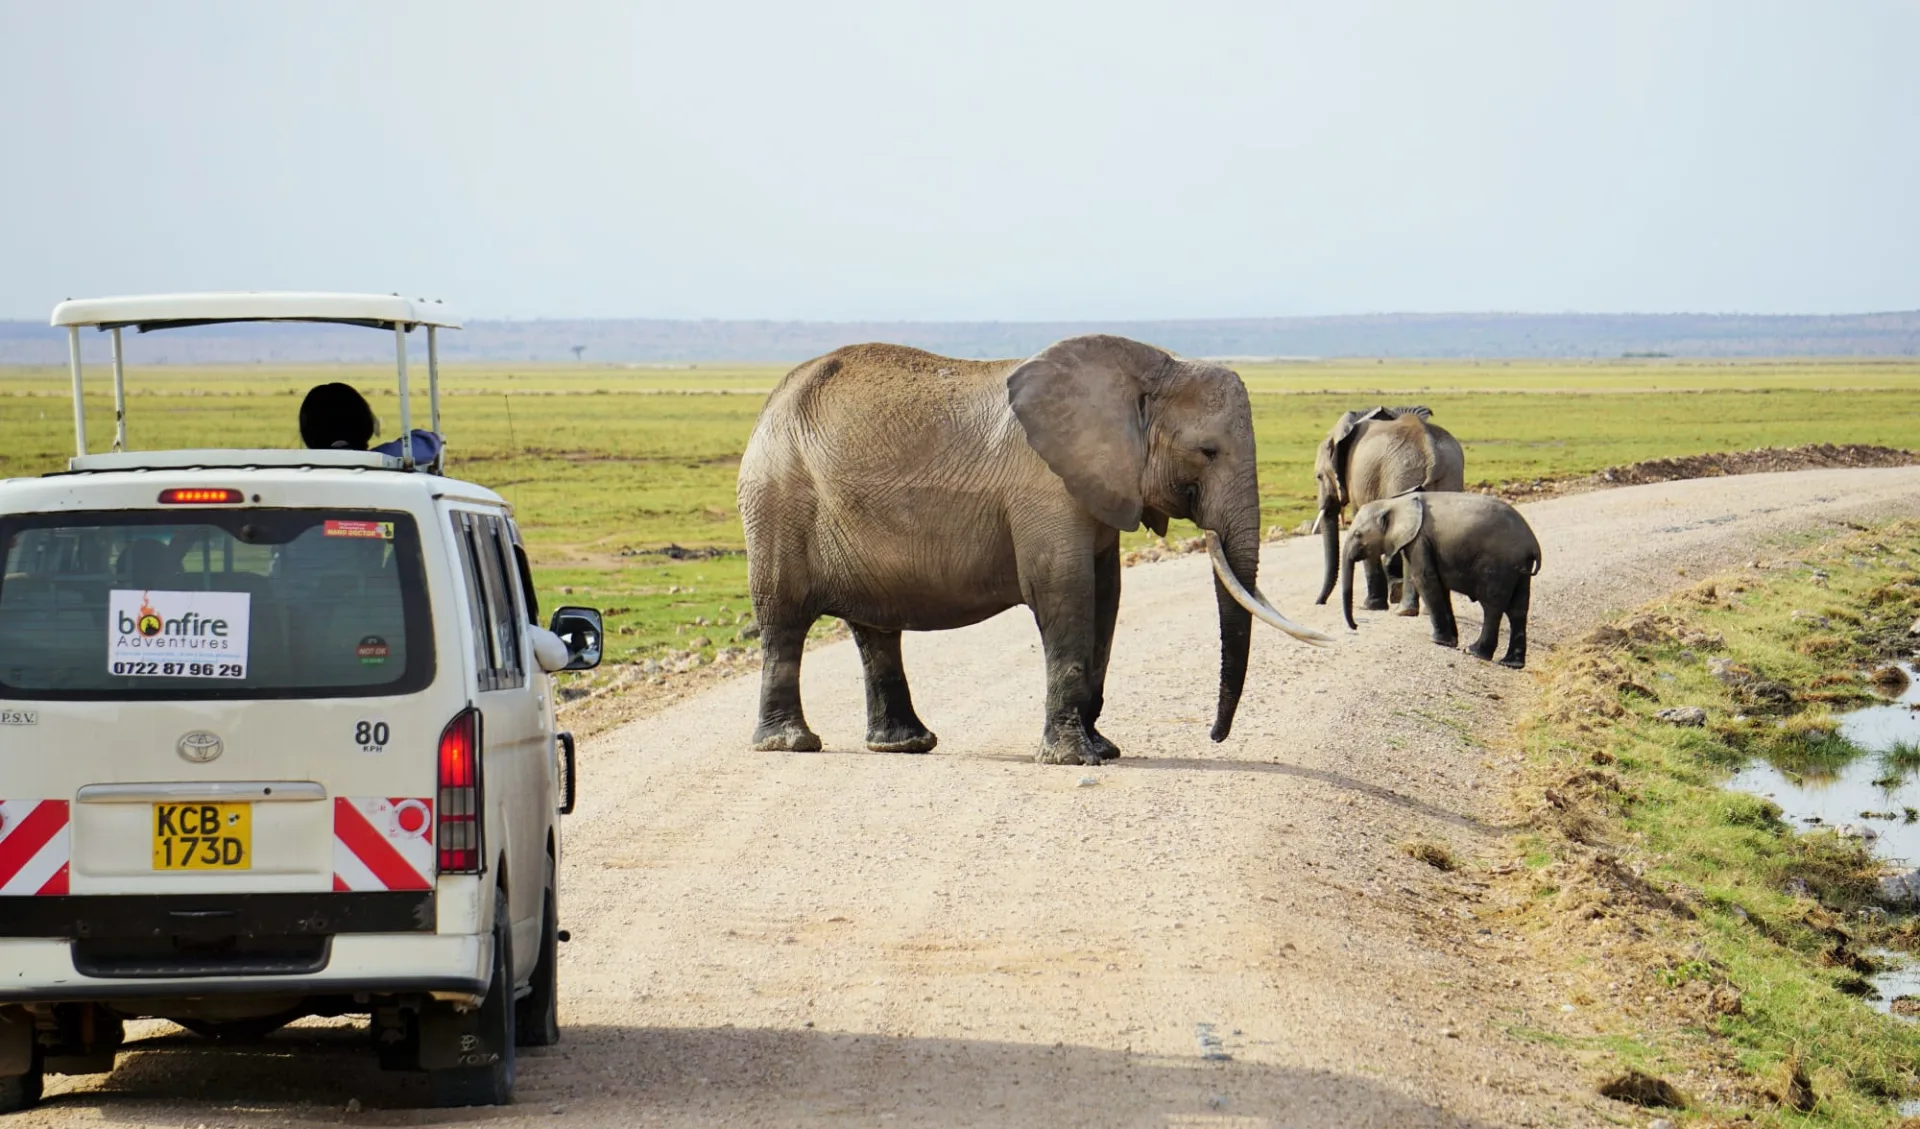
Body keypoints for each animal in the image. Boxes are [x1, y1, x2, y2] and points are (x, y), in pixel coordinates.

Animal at [737, 330, 1336, 764]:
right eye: (1208, 451)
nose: (1214, 736)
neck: (1150, 369)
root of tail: (772, 401)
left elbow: (1106, 597)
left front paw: (1104, 750)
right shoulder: (1045, 488)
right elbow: (1064, 591)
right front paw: (1075, 759)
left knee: (875, 632)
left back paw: (906, 745)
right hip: (777, 500)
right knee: (784, 620)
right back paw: (792, 745)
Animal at [1313, 407, 1459, 618]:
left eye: (1318, 476)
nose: (1320, 602)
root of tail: (1433, 456)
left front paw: (1371, 606)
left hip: (1403, 475)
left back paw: (1406, 610)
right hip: (1450, 476)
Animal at [1336, 491, 1543, 664]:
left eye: (1357, 534)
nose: (1355, 626)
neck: (1396, 502)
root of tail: (1533, 545)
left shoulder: (1418, 540)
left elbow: (1424, 579)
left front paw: (1439, 642)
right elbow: (1441, 586)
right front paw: (1450, 641)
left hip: (1499, 565)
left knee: (1492, 607)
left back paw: (1475, 652)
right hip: (1519, 569)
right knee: (1518, 610)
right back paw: (1510, 663)